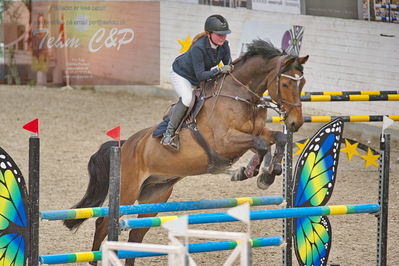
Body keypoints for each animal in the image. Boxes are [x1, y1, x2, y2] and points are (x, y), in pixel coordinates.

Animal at [65, 39, 310, 264]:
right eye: (286, 84)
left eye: (303, 82)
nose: (295, 123)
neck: (240, 96)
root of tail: (124, 146)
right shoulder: (224, 141)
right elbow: (260, 144)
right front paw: (256, 173)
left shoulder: (256, 132)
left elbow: (276, 139)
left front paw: (267, 172)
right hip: (126, 192)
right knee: (103, 223)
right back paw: (95, 259)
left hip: (154, 195)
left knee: (135, 234)